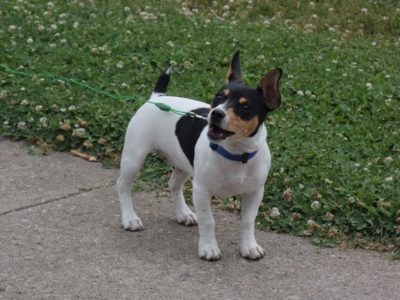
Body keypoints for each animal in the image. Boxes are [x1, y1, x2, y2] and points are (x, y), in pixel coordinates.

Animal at [117, 51, 282, 260]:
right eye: (218, 97)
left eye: (245, 107)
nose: (216, 113)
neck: (236, 153)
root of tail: (157, 97)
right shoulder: (202, 191)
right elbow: (208, 221)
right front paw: (209, 247)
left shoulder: (254, 192)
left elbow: (247, 221)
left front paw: (249, 247)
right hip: (134, 158)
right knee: (123, 185)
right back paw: (130, 218)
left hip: (183, 164)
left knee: (173, 184)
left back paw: (183, 214)